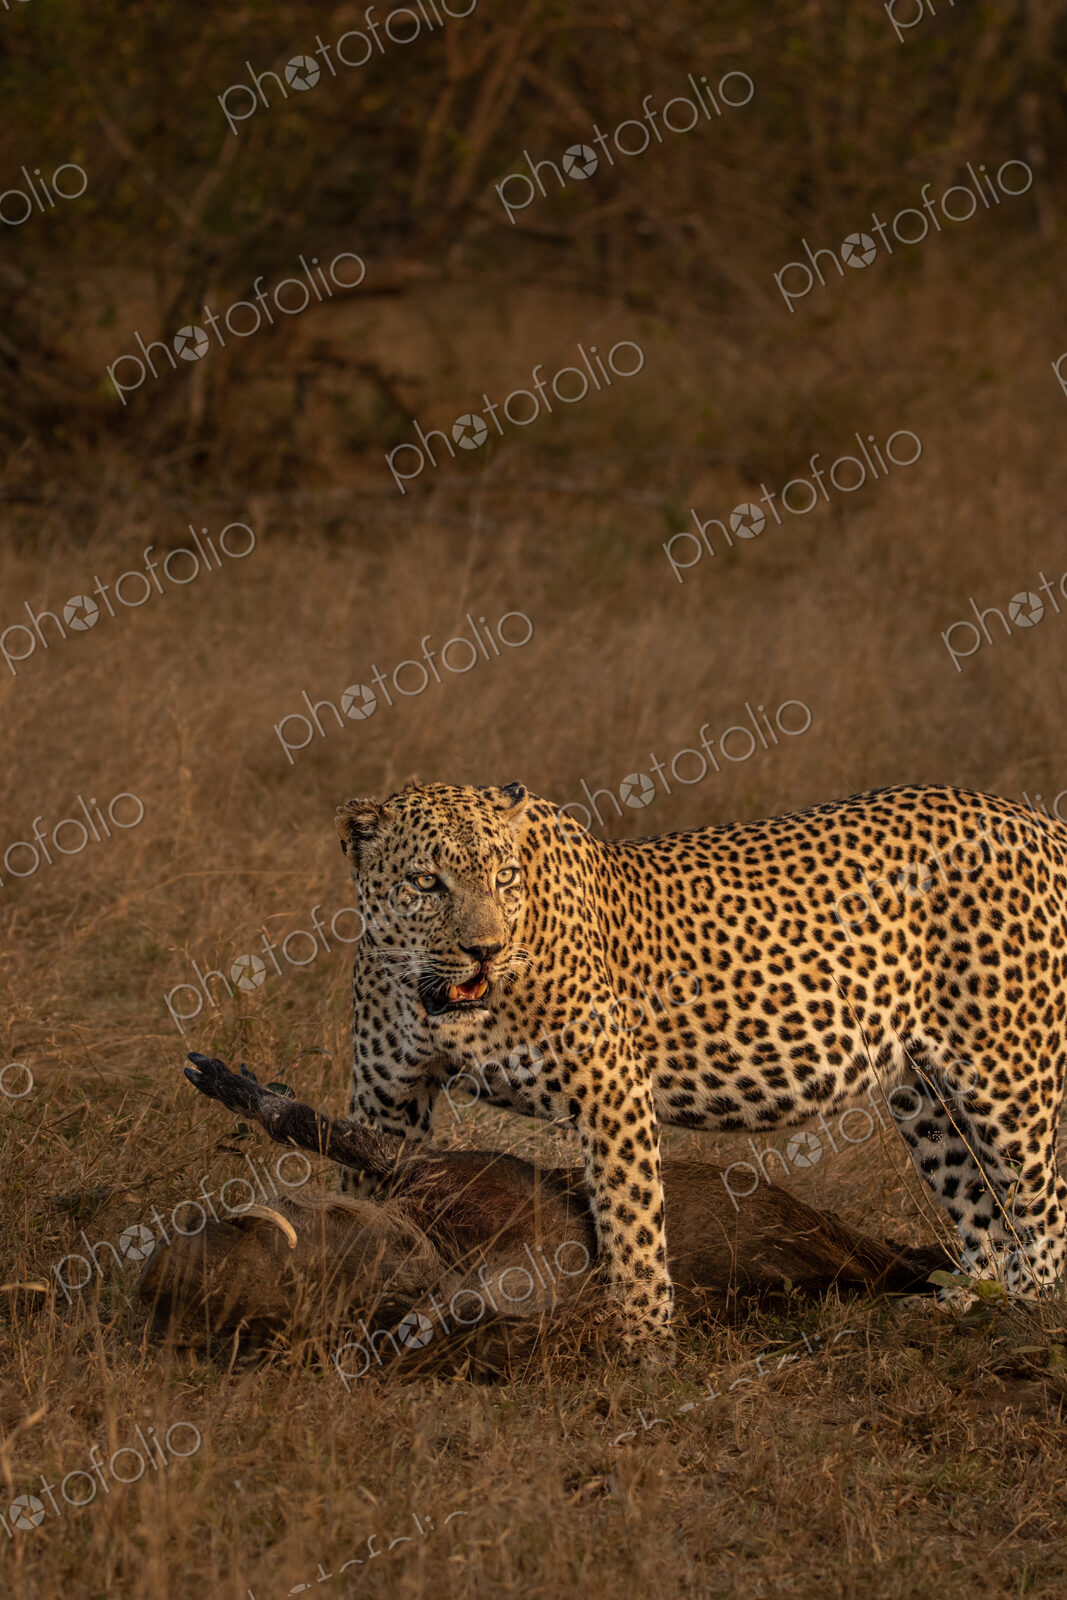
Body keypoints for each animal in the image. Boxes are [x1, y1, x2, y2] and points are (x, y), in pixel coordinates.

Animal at [335, 779, 1067, 1348]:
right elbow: (354, 1197)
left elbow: (629, 1221)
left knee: (1044, 1209)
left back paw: (1024, 1316)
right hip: (925, 1095)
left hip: (1008, 1074)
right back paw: (961, 1303)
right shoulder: (384, 1101)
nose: (484, 950)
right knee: (979, 1205)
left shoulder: (611, 1090)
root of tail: (1036, 820)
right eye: (425, 883)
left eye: (504, 878)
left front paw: (639, 1342)